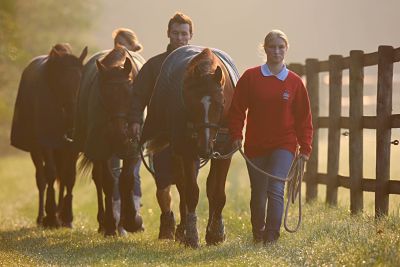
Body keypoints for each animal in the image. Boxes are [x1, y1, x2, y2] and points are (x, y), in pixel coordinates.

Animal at [10, 43, 87, 228]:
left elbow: (69, 176)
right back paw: (41, 217)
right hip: (35, 150)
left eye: (81, 80)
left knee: (62, 177)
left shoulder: (71, 147)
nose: (73, 118)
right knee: (41, 177)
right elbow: (50, 174)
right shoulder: (47, 144)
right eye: (62, 82)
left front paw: (66, 216)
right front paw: (51, 216)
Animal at [74, 46, 145, 237]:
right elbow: (107, 182)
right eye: (104, 95)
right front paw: (112, 224)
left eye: (130, 93)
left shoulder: (132, 148)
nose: (119, 135)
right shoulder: (100, 148)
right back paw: (104, 223)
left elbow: (126, 180)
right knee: (99, 180)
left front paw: (131, 221)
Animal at [141, 45, 238, 248]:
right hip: (177, 153)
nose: (204, 147)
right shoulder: (187, 152)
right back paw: (182, 230)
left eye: (221, 104)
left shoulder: (225, 153)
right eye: (192, 104)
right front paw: (192, 235)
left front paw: (216, 233)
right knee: (183, 188)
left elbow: (218, 193)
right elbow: (191, 193)